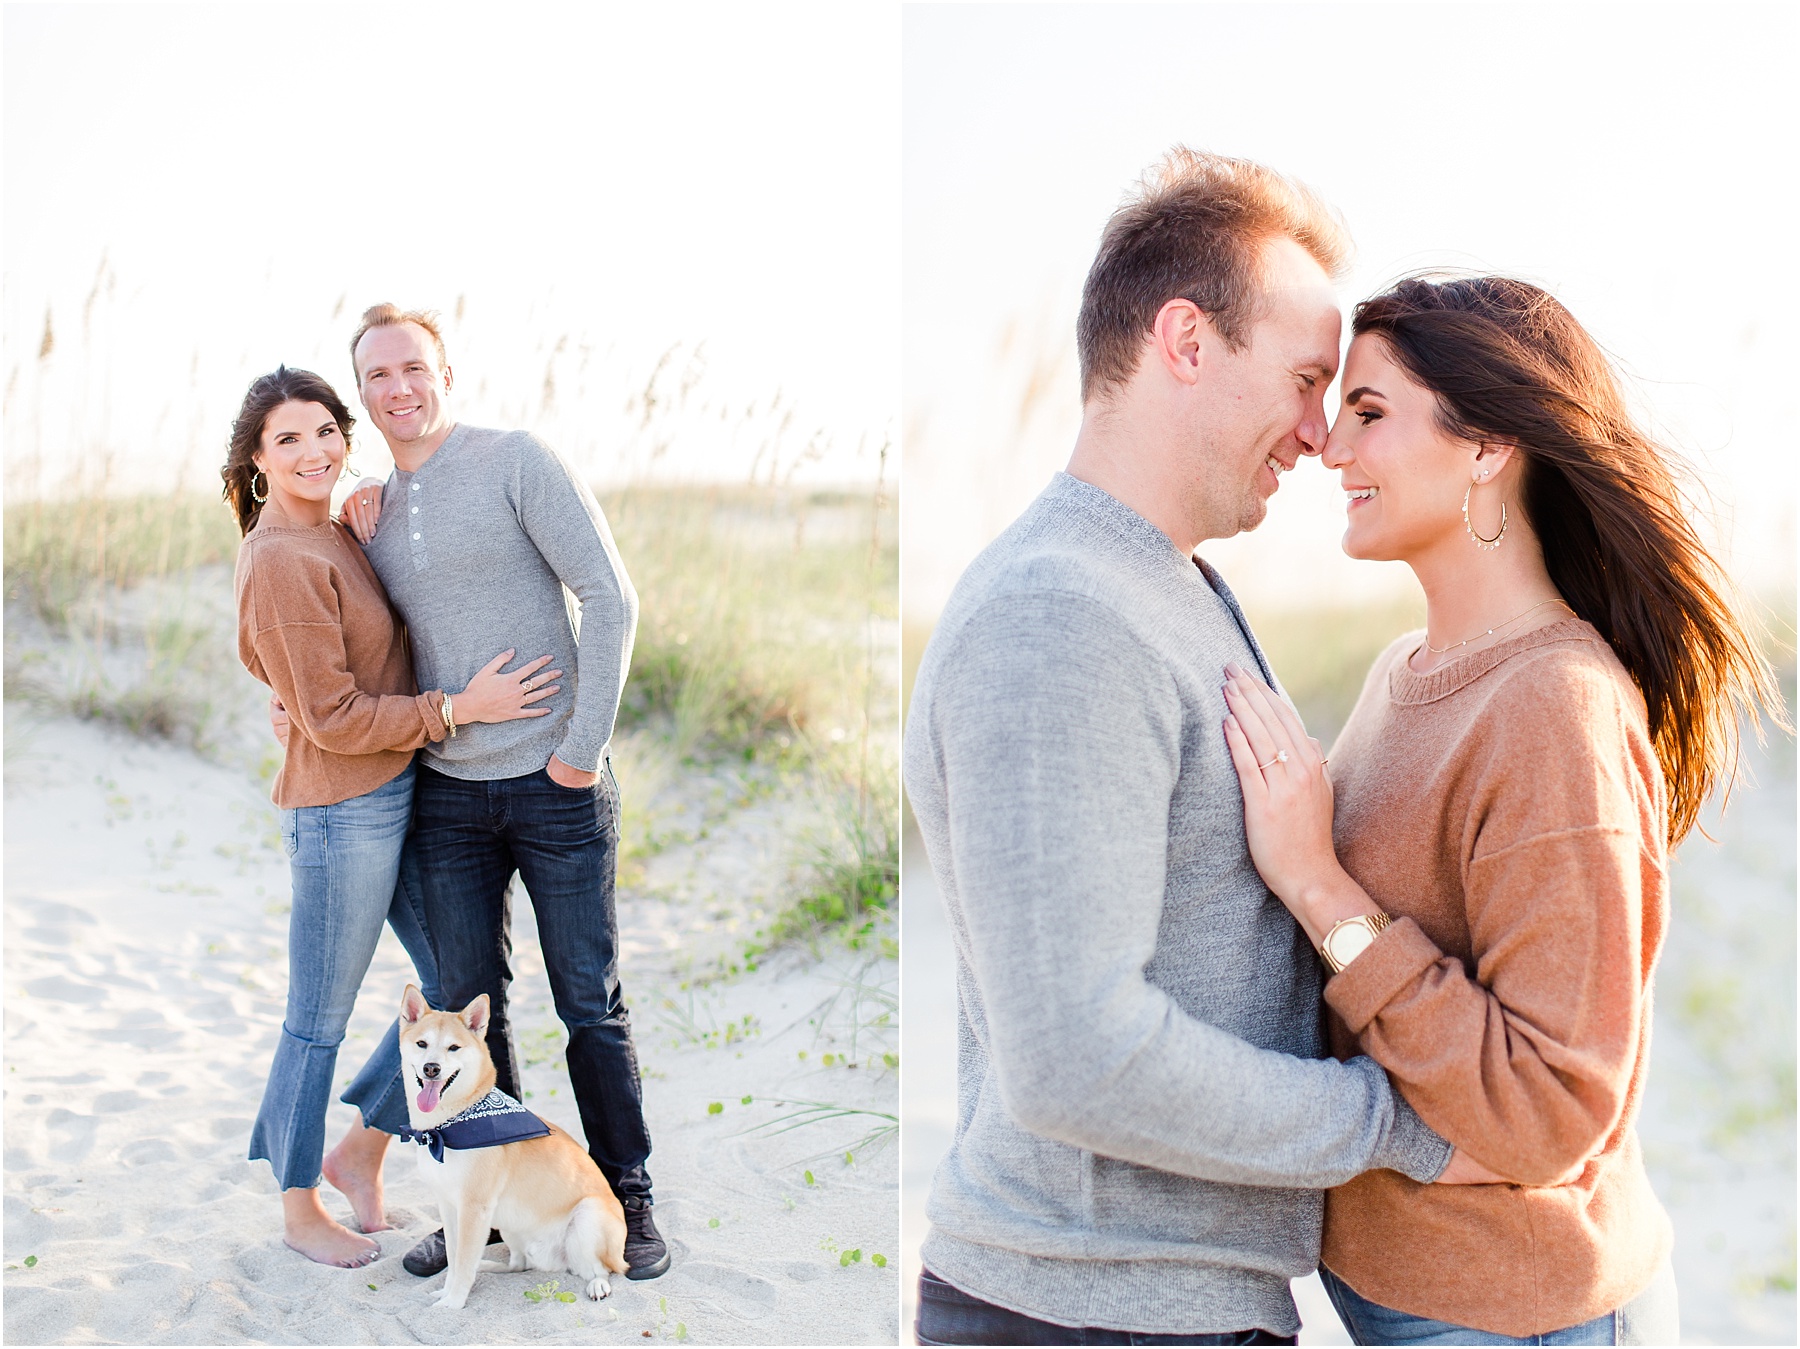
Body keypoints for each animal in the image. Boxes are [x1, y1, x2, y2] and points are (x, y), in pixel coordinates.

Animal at [401, 986, 633, 1311]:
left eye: (453, 1048)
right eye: (422, 1044)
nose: (431, 1068)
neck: (446, 1127)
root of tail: (555, 1261)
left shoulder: (474, 1208)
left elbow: (462, 1264)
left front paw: (454, 1302)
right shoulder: (448, 1205)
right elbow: (455, 1259)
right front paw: (447, 1291)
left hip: (587, 1218)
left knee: (602, 1269)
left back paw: (598, 1284)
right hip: (509, 1225)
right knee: (518, 1264)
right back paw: (489, 1266)